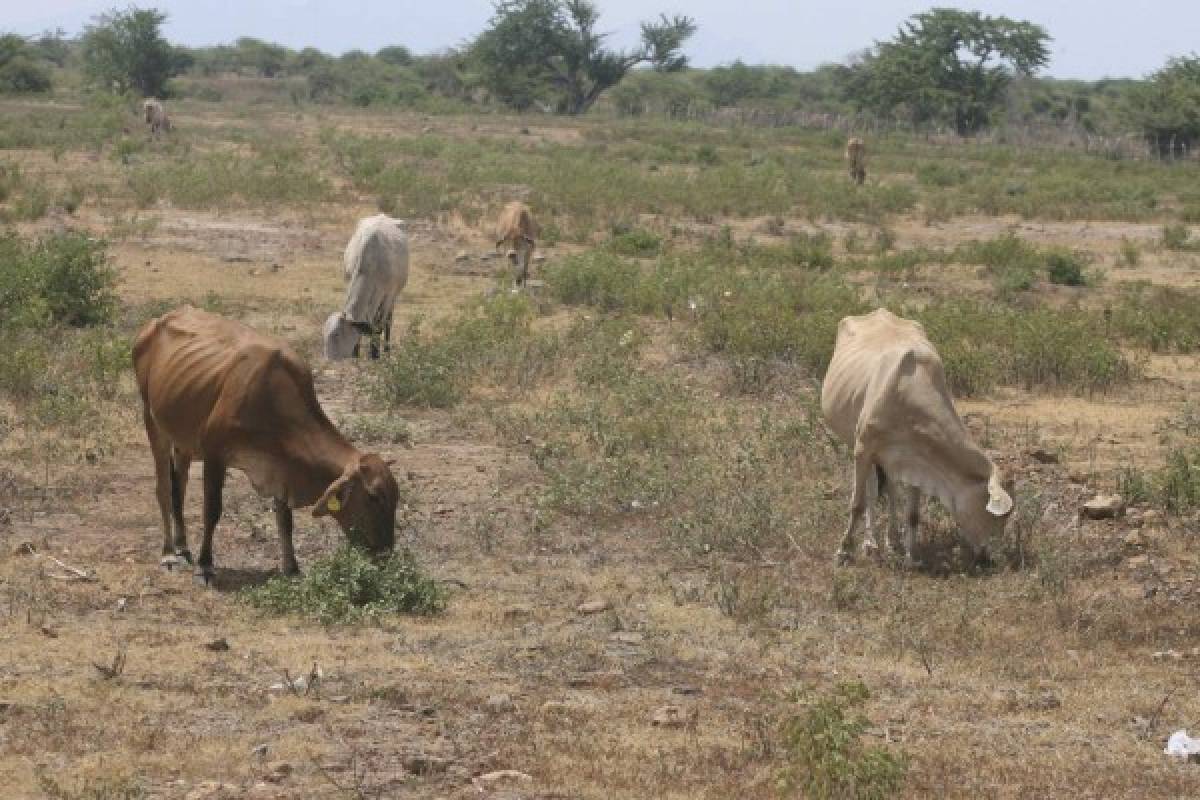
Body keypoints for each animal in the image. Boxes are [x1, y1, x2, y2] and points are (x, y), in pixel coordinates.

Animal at [133, 303, 400, 585]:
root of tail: (157, 321)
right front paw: (205, 566)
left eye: (396, 498)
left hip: (183, 439)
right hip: (152, 421)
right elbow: (212, 510)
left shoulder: (281, 468)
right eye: (374, 497)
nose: (385, 554)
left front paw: (291, 566)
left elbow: (285, 520)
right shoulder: (215, 455)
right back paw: (168, 553)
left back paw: (183, 547)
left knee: (179, 486)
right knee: (164, 488)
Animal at [321, 214, 410, 362]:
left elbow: (379, 325)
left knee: (388, 322)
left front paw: (375, 355)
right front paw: (356, 354)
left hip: (393, 297)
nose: (329, 360)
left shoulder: (387, 296)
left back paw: (386, 350)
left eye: (337, 335)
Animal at [820, 309, 1008, 566]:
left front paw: (911, 556)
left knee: (889, 489)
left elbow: (912, 514)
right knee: (871, 490)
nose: (987, 556)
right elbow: (857, 504)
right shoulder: (863, 448)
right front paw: (843, 551)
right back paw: (871, 543)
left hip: (888, 459)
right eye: (994, 518)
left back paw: (891, 540)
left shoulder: (916, 461)